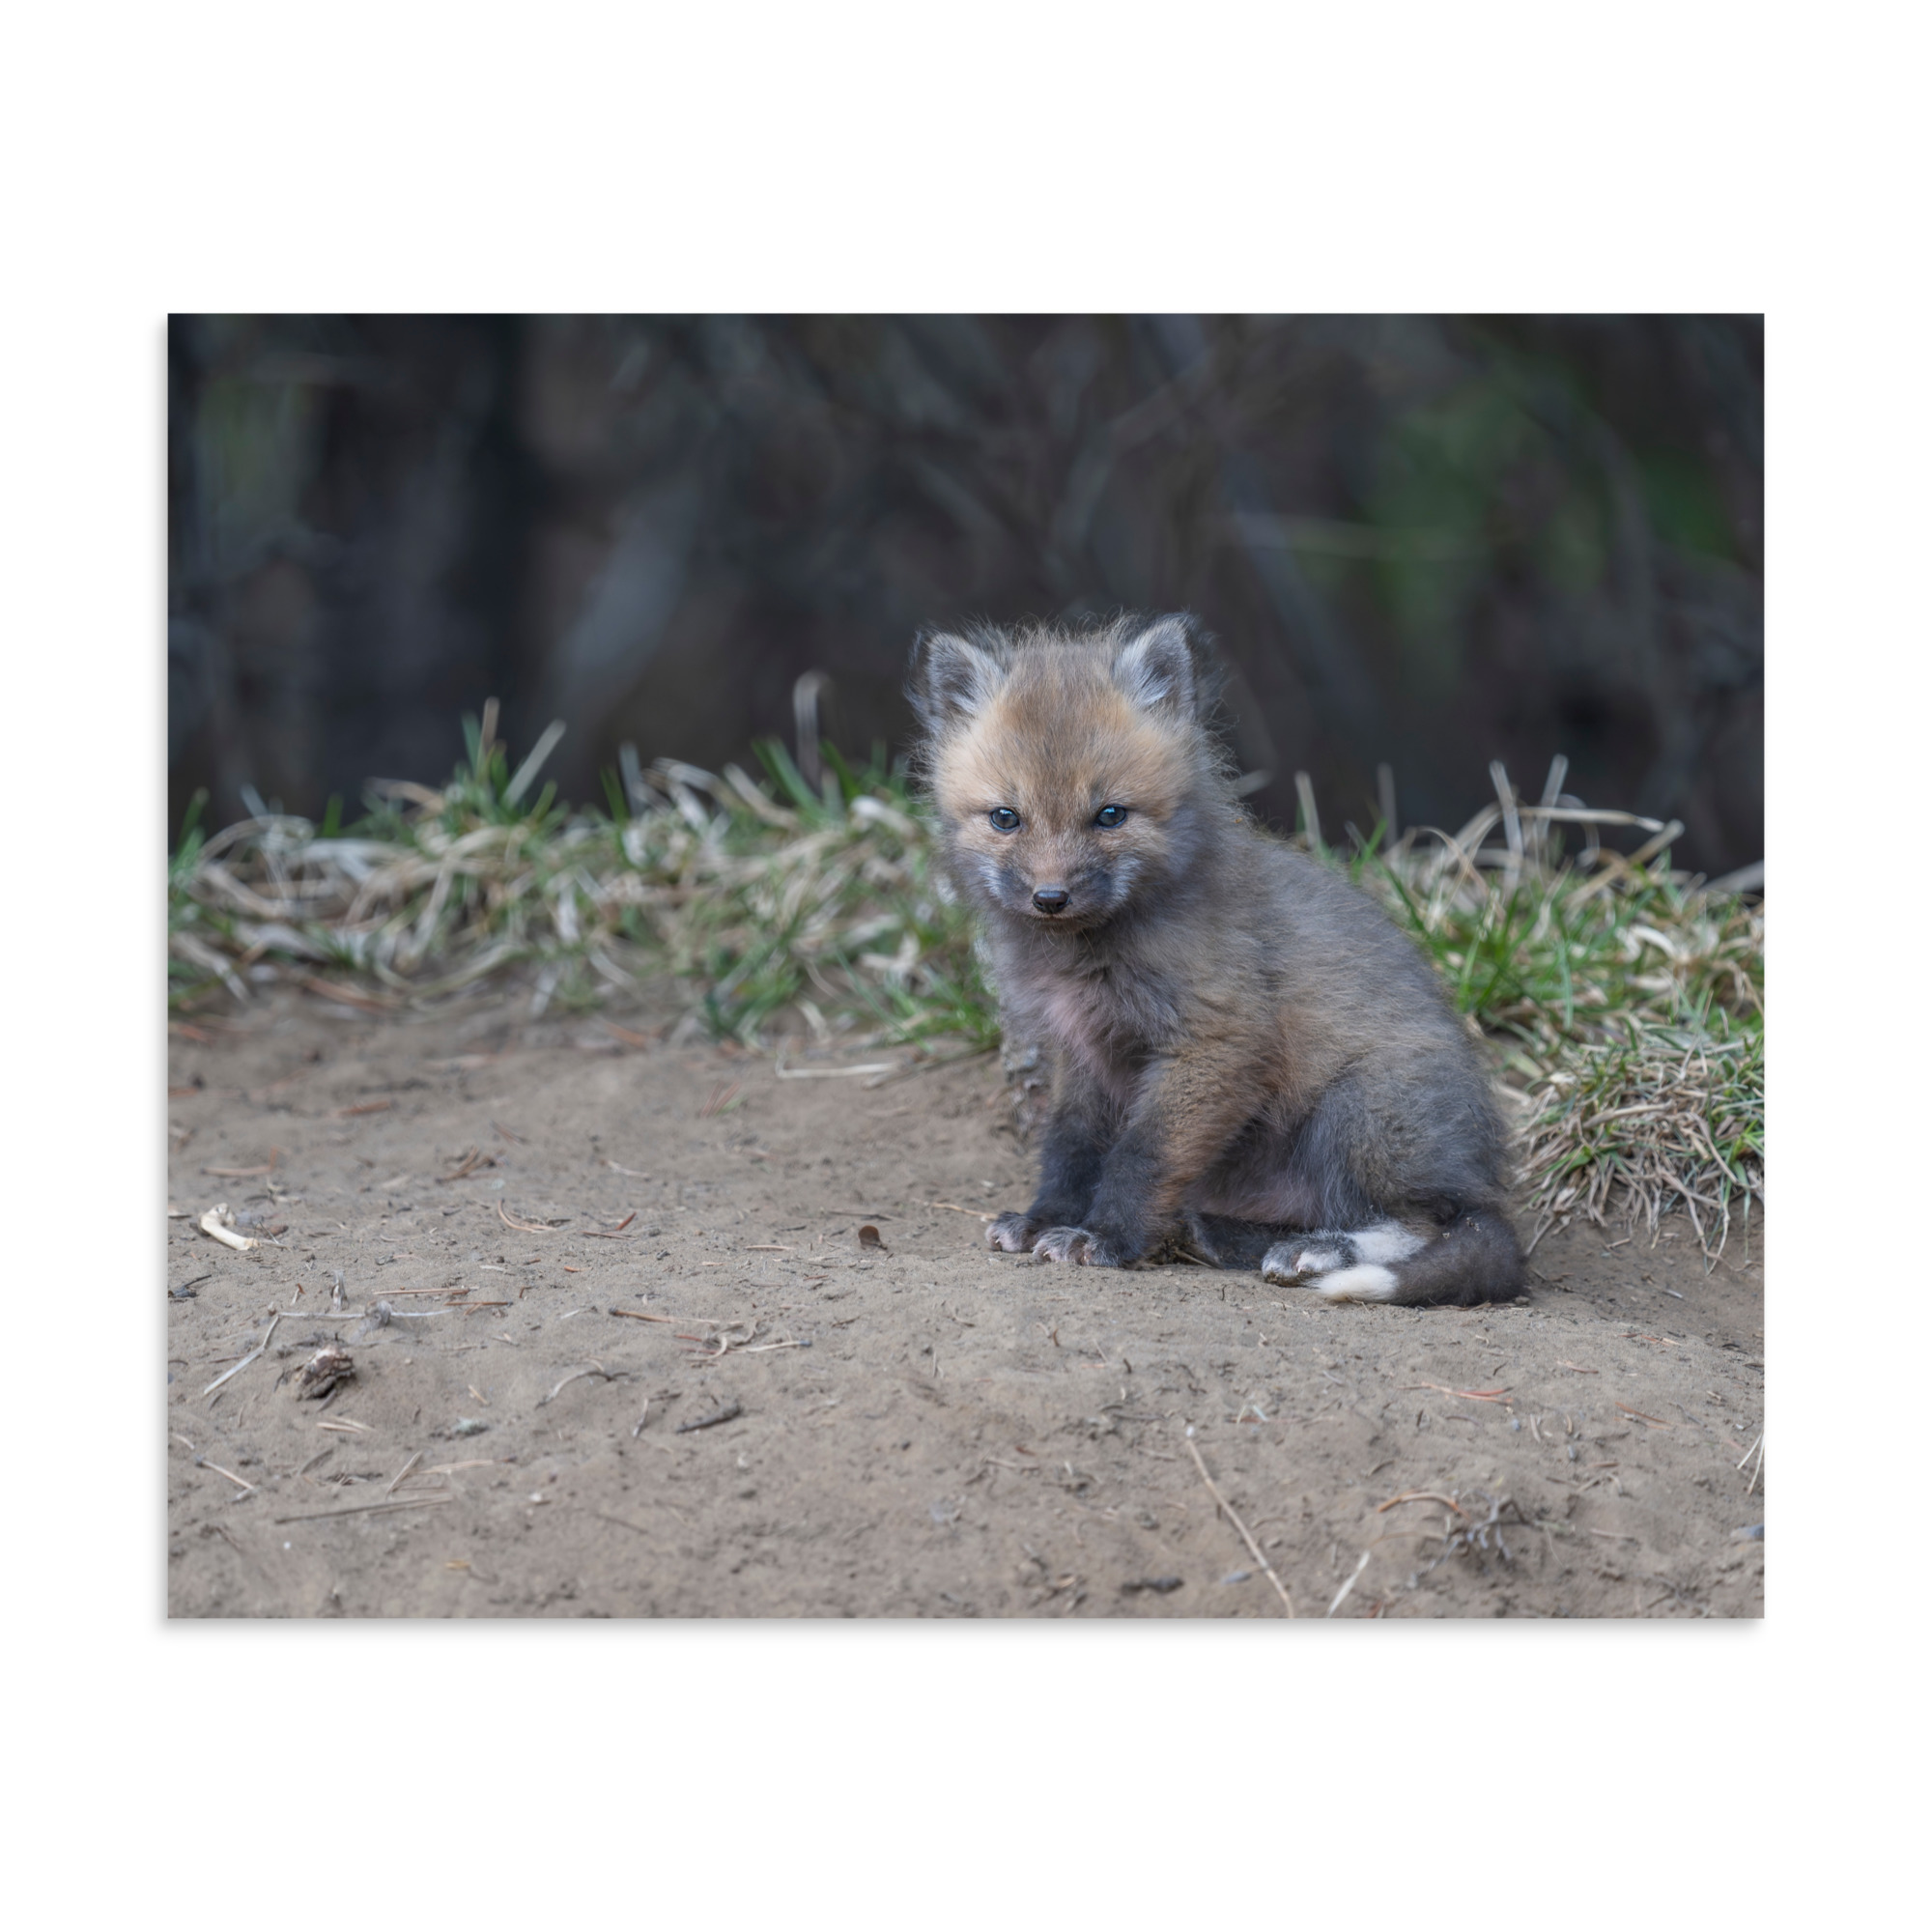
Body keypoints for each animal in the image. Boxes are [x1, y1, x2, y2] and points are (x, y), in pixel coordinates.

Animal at [908, 611, 1524, 1307]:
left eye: (1110, 815)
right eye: (1006, 818)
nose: (1050, 897)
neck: (1087, 958)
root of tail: (1482, 1175)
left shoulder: (1215, 1041)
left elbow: (1141, 1156)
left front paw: (1106, 1238)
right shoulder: (1084, 1053)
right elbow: (1070, 1149)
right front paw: (1047, 1219)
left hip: (1358, 1113)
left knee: (1432, 1223)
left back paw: (1318, 1252)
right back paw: (1225, 1235)